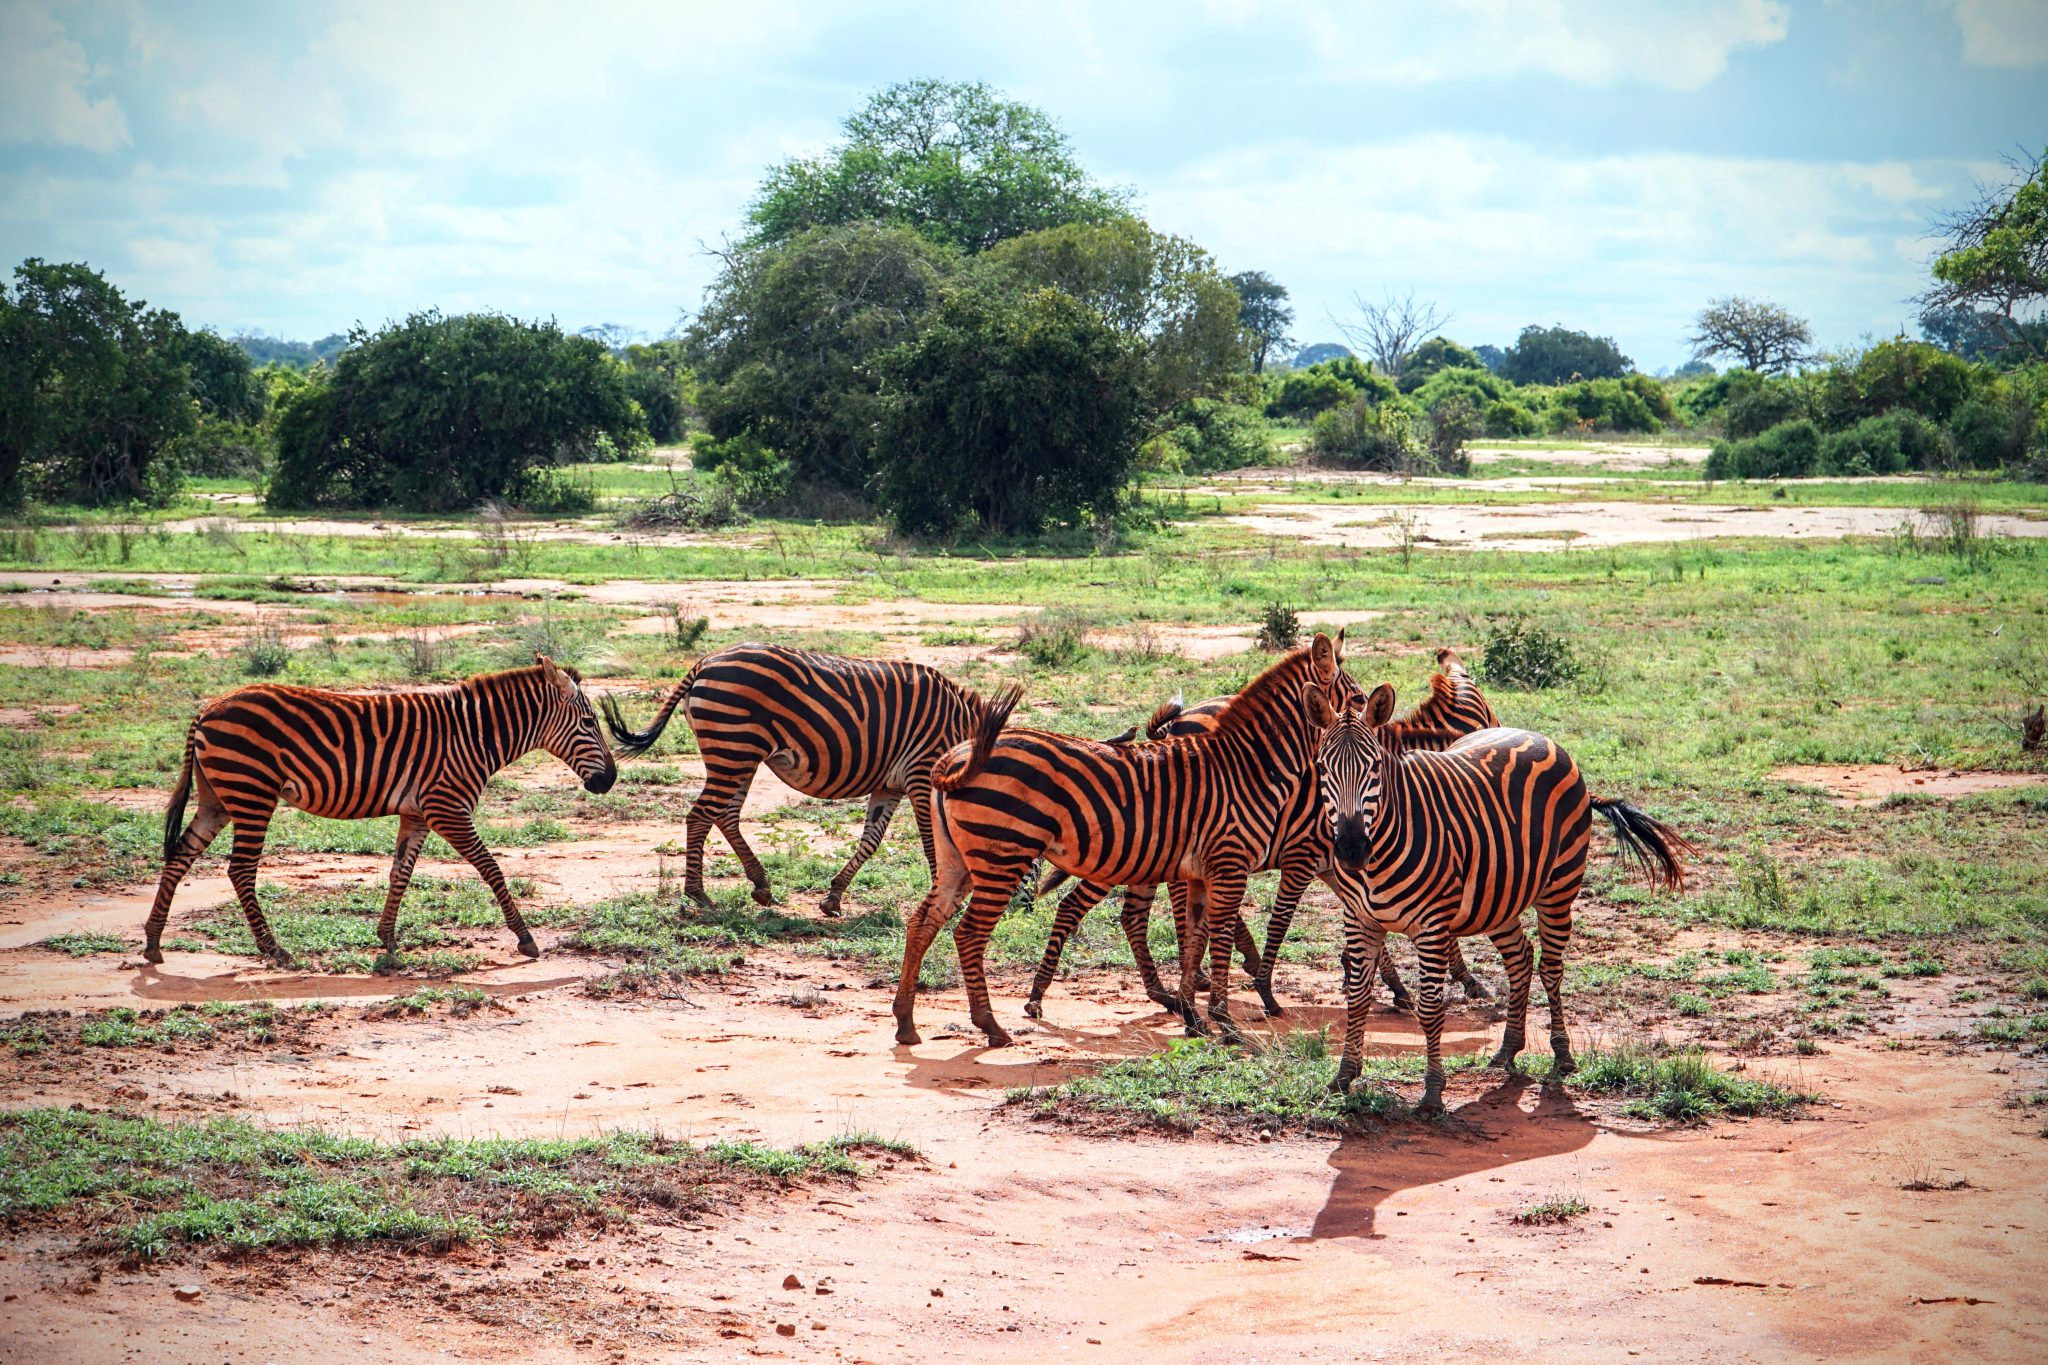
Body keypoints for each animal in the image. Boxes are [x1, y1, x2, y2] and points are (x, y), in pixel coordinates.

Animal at [142, 655, 617, 968]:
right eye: (590, 723)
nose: (608, 780)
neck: (475, 736)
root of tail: (207, 708)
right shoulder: (447, 807)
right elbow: (491, 868)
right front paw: (525, 938)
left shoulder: (418, 813)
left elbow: (400, 873)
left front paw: (387, 941)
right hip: (252, 794)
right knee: (240, 870)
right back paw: (273, 950)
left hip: (219, 798)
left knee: (180, 855)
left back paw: (153, 942)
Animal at [601, 644, 1011, 917]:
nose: (1017, 908)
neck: (965, 741)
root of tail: (705, 661)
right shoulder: (923, 774)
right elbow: (931, 843)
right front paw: (944, 899)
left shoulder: (890, 783)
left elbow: (871, 840)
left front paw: (833, 897)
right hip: (734, 747)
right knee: (701, 815)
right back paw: (698, 894)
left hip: (738, 753)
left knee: (725, 815)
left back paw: (761, 886)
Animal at [894, 633, 1355, 1048]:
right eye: (1357, 697)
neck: (1249, 767)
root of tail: (956, 758)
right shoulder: (1231, 864)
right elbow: (1220, 937)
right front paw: (1224, 1023)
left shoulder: (1201, 872)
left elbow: (1194, 940)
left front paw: (1194, 1019)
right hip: (1002, 855)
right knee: (969, 933)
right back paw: (990, 1026)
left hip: (958, 860)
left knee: (923, 921)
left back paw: (906, 1022)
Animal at [1025, 648, 1495, 1019]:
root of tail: (1171, 727)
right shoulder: (1306, 856)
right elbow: (1282, 920)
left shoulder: (1337, 865)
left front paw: (1390, 983)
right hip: (1128, 852)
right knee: (1081, 906)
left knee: (1140, 913)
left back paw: (1184, 985)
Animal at [1314, 686, 1695, 1113]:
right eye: (1322, 768)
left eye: (1375, 767)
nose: (1351, 850)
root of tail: (1542, 738)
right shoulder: (1359, 920)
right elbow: (1358, 998)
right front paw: (1343, 1077)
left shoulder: (1431, 926)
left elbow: (1429, 1007)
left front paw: (1432, 1093)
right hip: (1497, 896)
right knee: (1521, 957)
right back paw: (1509, 1047)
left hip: (1559, 887)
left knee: (1550, 968)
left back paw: (1563, 1055)